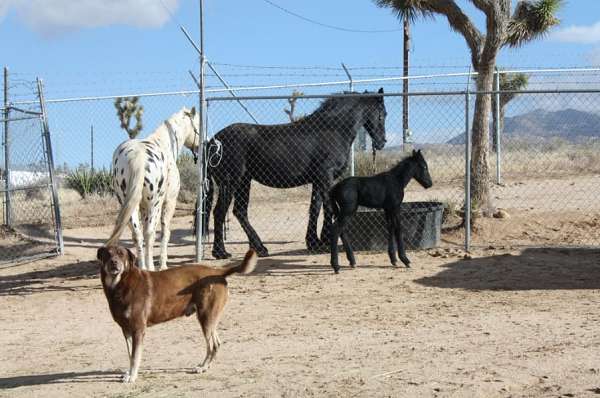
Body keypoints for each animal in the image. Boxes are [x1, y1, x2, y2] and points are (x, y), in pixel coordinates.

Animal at [97, 246, 256, 382]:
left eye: (121, 254)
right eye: (108, 254)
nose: (114, 262)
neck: (120, 284)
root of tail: (217, 272)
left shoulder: (138, 329)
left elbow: (135, 356)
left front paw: (132, 376)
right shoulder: (126, 330)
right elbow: (130, 355)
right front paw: (129, 373)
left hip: (205, 317)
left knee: (211, 344)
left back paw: (203, 367)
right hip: (209, 319)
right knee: (217, 343)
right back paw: (206, 366)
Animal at [107, 107, 199, 272]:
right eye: (198, 123)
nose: (204, 143)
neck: (164, 144)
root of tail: (137, 156)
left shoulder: (143, 207)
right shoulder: (169, 202)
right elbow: (165, 232)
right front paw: (163, 264)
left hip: (130, 204)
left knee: (137, 234)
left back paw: (143, 267)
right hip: (154, 204)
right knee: (150, 233)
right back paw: (150, 267)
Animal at [204, 88, 386, 260]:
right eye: (382, 114)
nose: (382, 142)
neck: (332, 129)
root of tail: (213, 142)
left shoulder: (317, 180)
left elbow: (315, 208)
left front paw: (314, 242)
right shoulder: (326, 177)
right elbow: (327, 207)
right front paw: (325, 241)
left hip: (244, 182)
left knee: (240, 212)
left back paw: (259, 248)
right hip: (230, 182)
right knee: (220, 212)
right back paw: (221, 252)